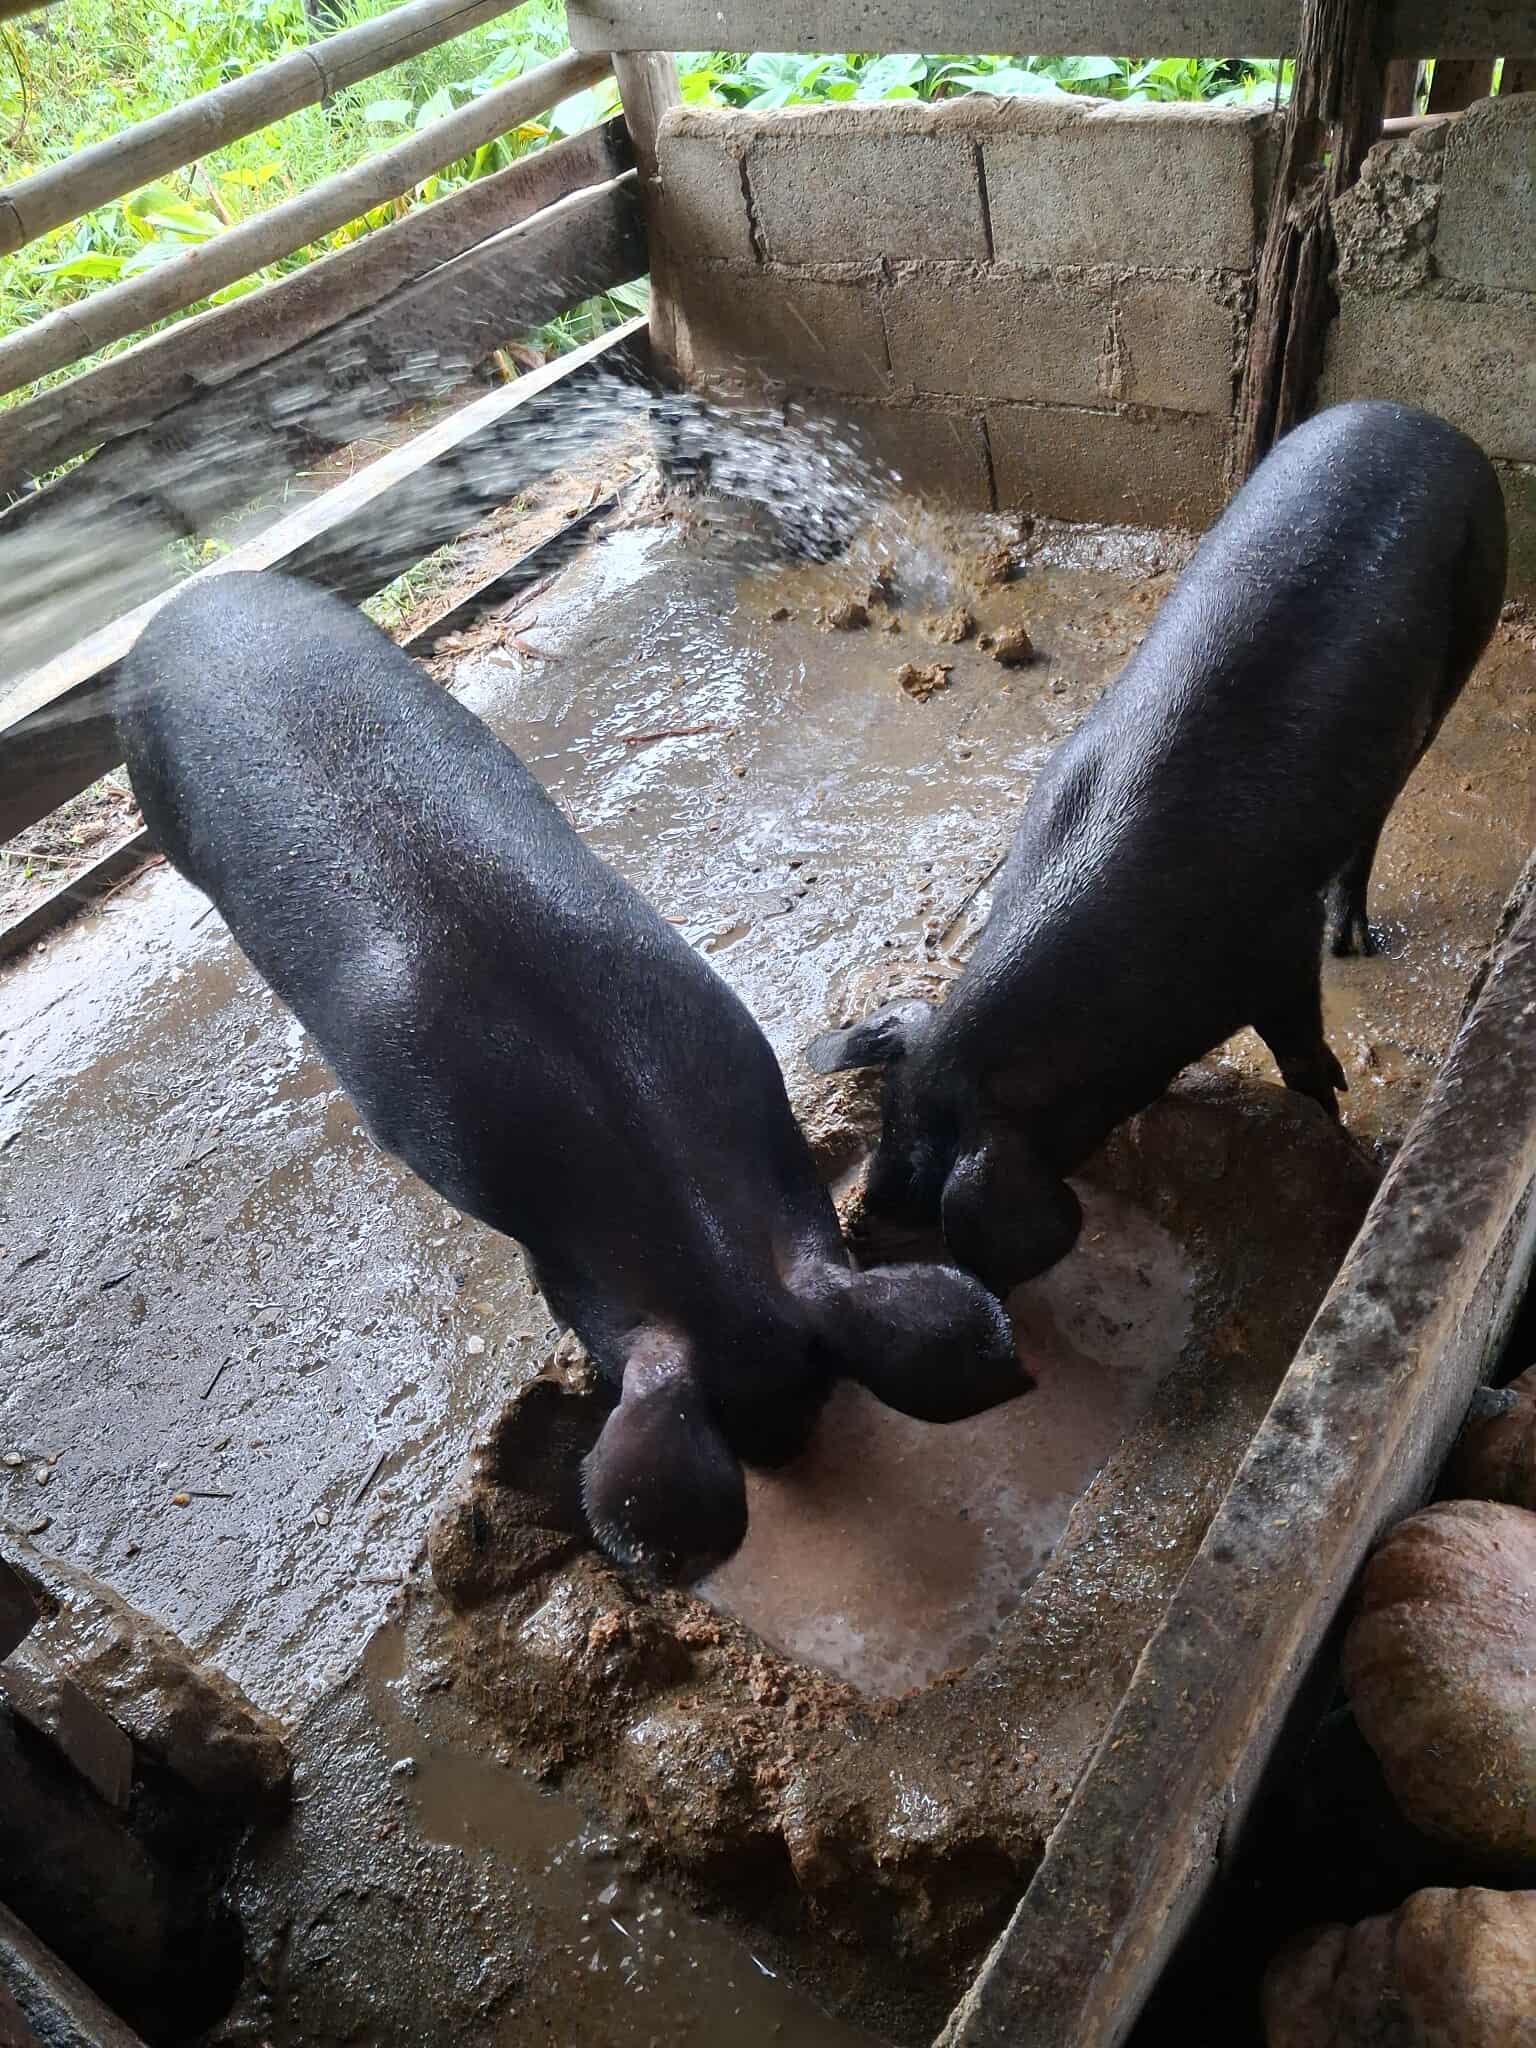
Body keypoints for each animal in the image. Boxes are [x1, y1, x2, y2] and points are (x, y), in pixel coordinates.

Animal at [807, 402, 1507, 1296]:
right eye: (886, 1124)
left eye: (933, 1206)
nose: (869, 1216)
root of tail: (1424, 420)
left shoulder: (1275, 949)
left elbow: (1304, 1058)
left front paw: (1342, 1131)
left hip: (1470, 621)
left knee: (1385, 803)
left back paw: (1352, 941)